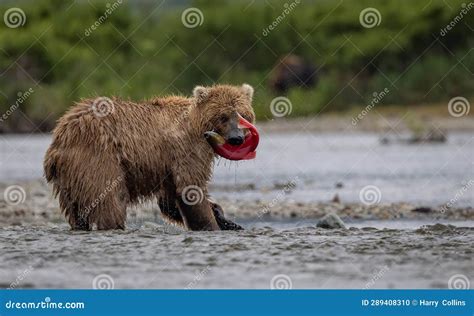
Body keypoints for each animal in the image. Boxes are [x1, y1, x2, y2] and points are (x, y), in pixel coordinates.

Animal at [44, 84, 256, 231]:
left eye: (243, 115)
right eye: (224, 116)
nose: (236, 138)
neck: (198, 128)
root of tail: (59, 137)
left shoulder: (168, 164)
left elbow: (169, 201)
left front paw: (225, 218)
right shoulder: (187, 149)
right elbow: (191, 188)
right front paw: (212, 224)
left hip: (69, 178)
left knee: (76, 211)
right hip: (97, 158)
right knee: (109, 201)